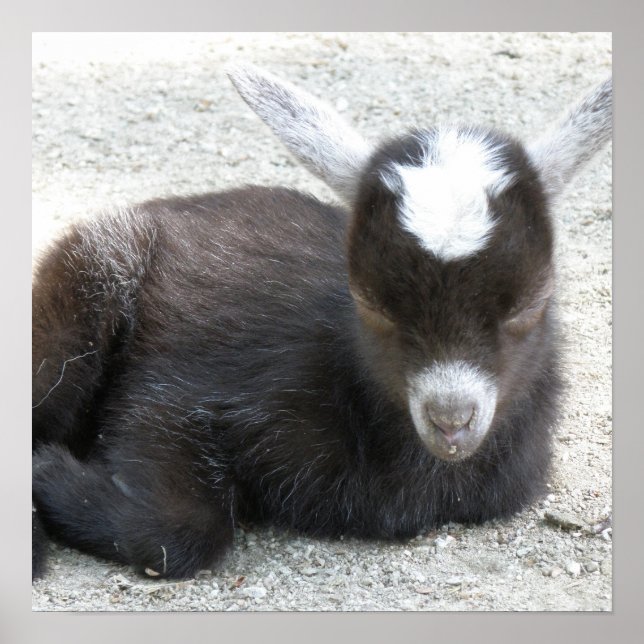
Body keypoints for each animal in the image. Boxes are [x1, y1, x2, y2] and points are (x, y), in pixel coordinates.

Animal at [32, 65, 612, 580]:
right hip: (93, 279)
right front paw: (48, 472)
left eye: (528, 305)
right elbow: (181, 528)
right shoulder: (175, 391)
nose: (451, 422)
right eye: (371, 303)